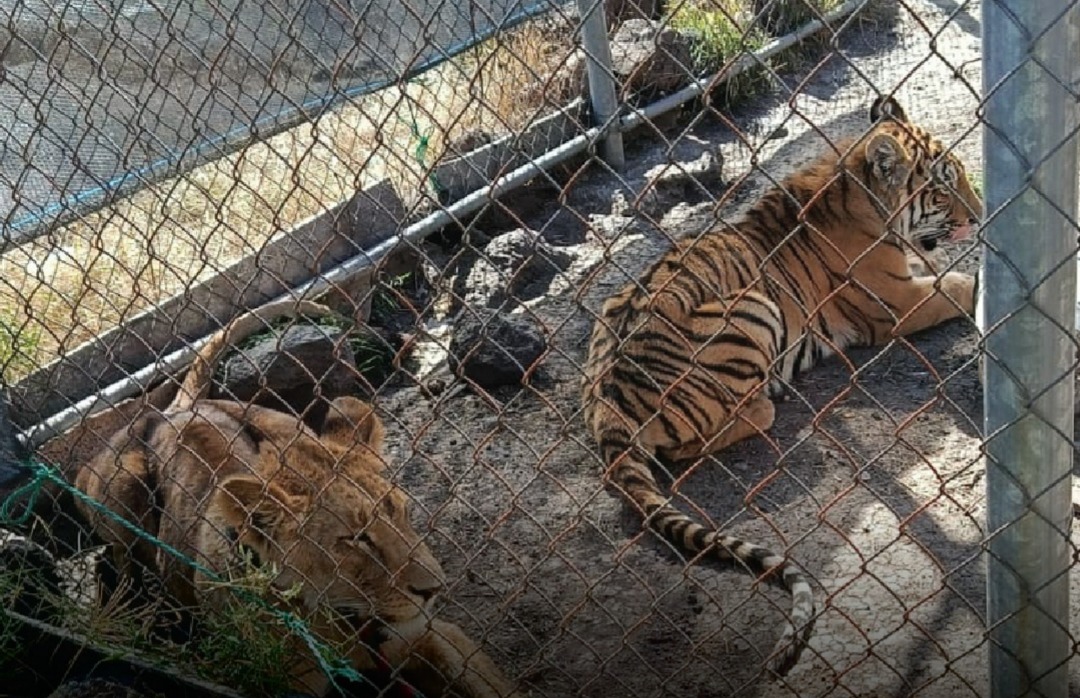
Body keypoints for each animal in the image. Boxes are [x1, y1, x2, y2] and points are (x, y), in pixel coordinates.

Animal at [74, 299, 521, 698]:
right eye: (356, 540)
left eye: (403, 513)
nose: (434, 590)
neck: (339, 620)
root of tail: (174, 411)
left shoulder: (434, 635)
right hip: (117, 484)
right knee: (122, 558)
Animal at [580, 96, 981, 676]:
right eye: (943, 187)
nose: (978, 215)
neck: (856, 188)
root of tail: (606, 399)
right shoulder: (897, 304)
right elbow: (963, 284)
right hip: (753, 309)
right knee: (704, 437)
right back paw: (772, 395)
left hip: (614, 306)